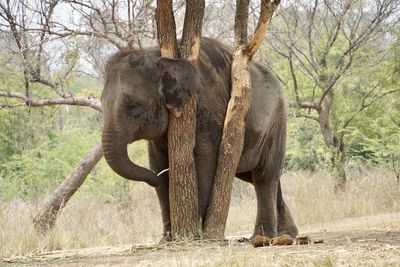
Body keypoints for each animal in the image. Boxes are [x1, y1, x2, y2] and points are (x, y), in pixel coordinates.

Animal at [101, 37, 298, 241]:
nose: (153, 181)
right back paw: (286, 236)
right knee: (260, 176)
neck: (160, 56)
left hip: (277, 121)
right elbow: (158, 163)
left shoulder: (206, 106)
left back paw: (262, 238)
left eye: (132, 105)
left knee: (264, 175)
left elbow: (205, 162)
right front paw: (167, 237)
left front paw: (198, 231)